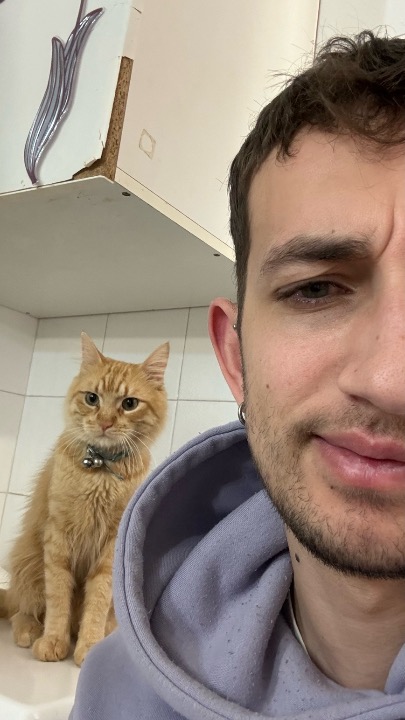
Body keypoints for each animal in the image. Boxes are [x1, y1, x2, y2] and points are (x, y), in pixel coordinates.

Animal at [0, 332, 169, 666]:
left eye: (129, 404)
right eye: (92, 398)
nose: (104, 422)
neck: (100, 471)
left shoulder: (110, 549)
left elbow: (97, 603)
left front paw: (88, 646)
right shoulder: (58, 539)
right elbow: (57, 599)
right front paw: (53, 641)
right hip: (26, 562)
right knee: (21, 608)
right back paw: (29, 631)